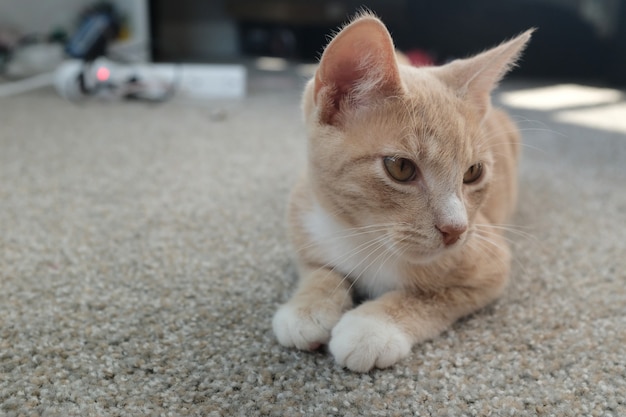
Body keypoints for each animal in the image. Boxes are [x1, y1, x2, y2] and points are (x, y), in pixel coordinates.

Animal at [270, 12, 528, 370]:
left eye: (473, 173)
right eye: (401, 168)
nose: (455, 230)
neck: (364, 238)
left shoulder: (491, 262)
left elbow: (434, 297)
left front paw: (374, 325)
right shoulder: (303, 215)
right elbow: (317, 269)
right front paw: (307, 306)